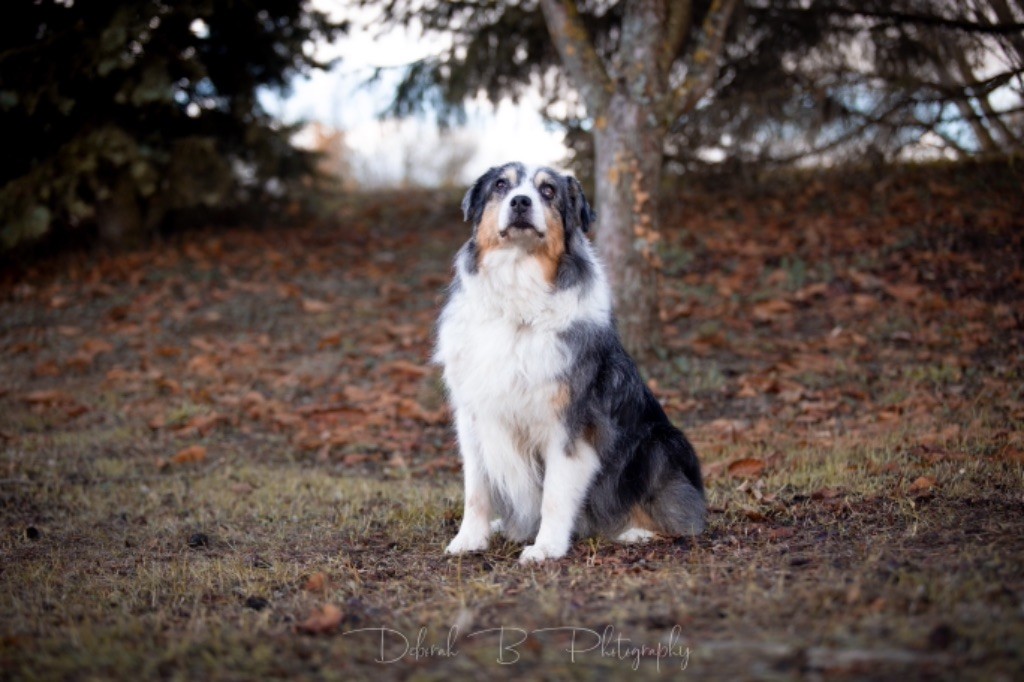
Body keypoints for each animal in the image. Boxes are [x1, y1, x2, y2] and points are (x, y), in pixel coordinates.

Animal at [432, 161, 704, 561]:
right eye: (501, 186)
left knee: (684, 516)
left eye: (548, 191)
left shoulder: (570, 423)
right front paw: (469, 539)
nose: (521, 202)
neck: (518, 296)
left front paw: (545, 548)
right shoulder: (474, 416)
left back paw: (636, 531)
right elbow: (476, 489)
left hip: (660, 442)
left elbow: (555, 495)